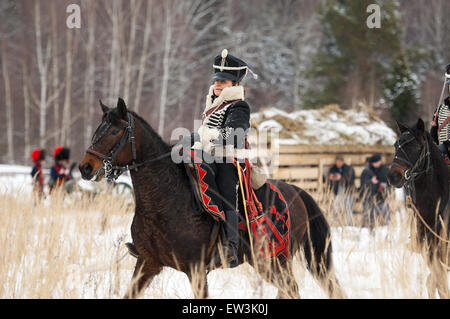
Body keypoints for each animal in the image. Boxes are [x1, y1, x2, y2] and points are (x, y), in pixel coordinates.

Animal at [79, 98, 344, 300]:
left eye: (115, 131)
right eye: (97, 129)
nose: (85, 167)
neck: (162, 202)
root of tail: (295, 192)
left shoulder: (196, 270)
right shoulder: (147, 263)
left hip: (273, 261)